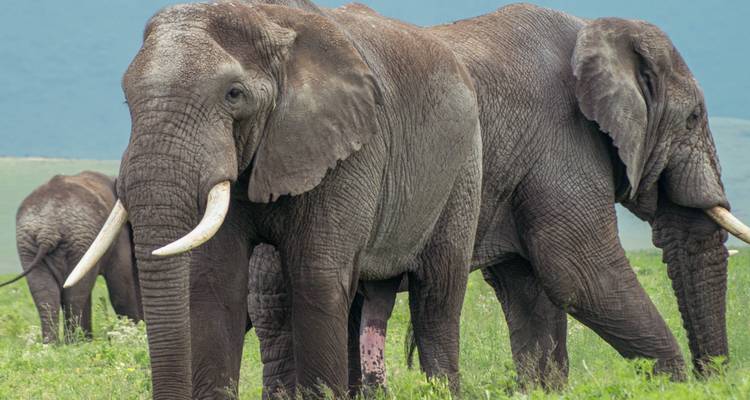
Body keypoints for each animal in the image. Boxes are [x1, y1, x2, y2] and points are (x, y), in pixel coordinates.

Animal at [4, 171, 142, 344]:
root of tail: (48, 230)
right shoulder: (118, 236)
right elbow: (121, 283)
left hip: (29, 245)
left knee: (45, 293)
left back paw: (53, 344)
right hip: (79, 240)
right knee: (74, 294)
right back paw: (75, 343)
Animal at [65, 0, 483, 398]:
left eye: (234, 94)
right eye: (126, 99)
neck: (267, 21)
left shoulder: (351, 147)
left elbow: (316, 277)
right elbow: (215, 281)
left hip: (463, 167)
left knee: (437, 297)